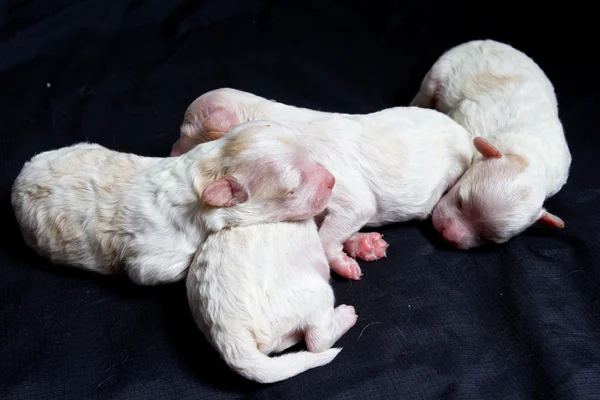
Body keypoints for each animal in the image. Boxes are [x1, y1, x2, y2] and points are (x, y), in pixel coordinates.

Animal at [169, 89, 474, 280]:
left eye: (183, 133)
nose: (170, 152)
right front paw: (364, 244)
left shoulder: (337, 185)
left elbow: (335, 228)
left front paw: (343, 263)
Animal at [408, 39, 572, 248]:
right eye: (460, 201)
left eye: (488, 238)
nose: (448, 236)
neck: (524, 157)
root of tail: (487, 41)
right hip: (441, 68)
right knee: (426, 92)